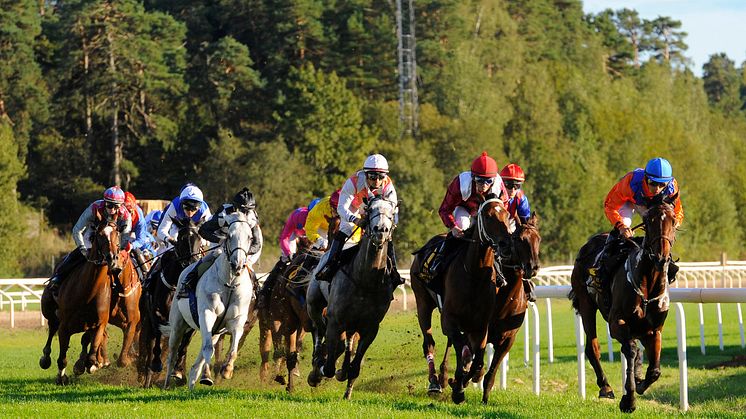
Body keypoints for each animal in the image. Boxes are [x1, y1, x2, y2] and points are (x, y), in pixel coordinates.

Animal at [39, 215, 124, 386]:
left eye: (117, 234)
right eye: (100, 235)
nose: (112, 258)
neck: (88, 291)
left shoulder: (99, 323)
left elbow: (92, 349)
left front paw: (92, 364)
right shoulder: (64, 326)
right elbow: (62, 357)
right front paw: (61, 377)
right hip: (50, 311)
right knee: (51, 329)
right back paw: (45, 358)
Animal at [304, 197, 396, 400]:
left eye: (392, 212)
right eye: (370, 210)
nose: (381, 230)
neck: (366, 280)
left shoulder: (371, 327)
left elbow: (355, 366)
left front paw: (345, 378)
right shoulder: (335, 321)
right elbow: (328, 367)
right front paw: (319, 371)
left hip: (352, 323)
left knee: (346, 343)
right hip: (314, 305)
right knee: (318, 331)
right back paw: (317, 364)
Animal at [568, 195, 676, 416]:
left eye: (673, 220)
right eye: (649, 220)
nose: (660, 257)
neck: (648, 283)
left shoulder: (654, 330)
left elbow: (655, 370)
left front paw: (640, 382)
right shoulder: (616, 322)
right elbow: (630, 351)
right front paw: (628, 400)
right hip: (586, 304)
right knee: (593, 347)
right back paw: (605, 387)